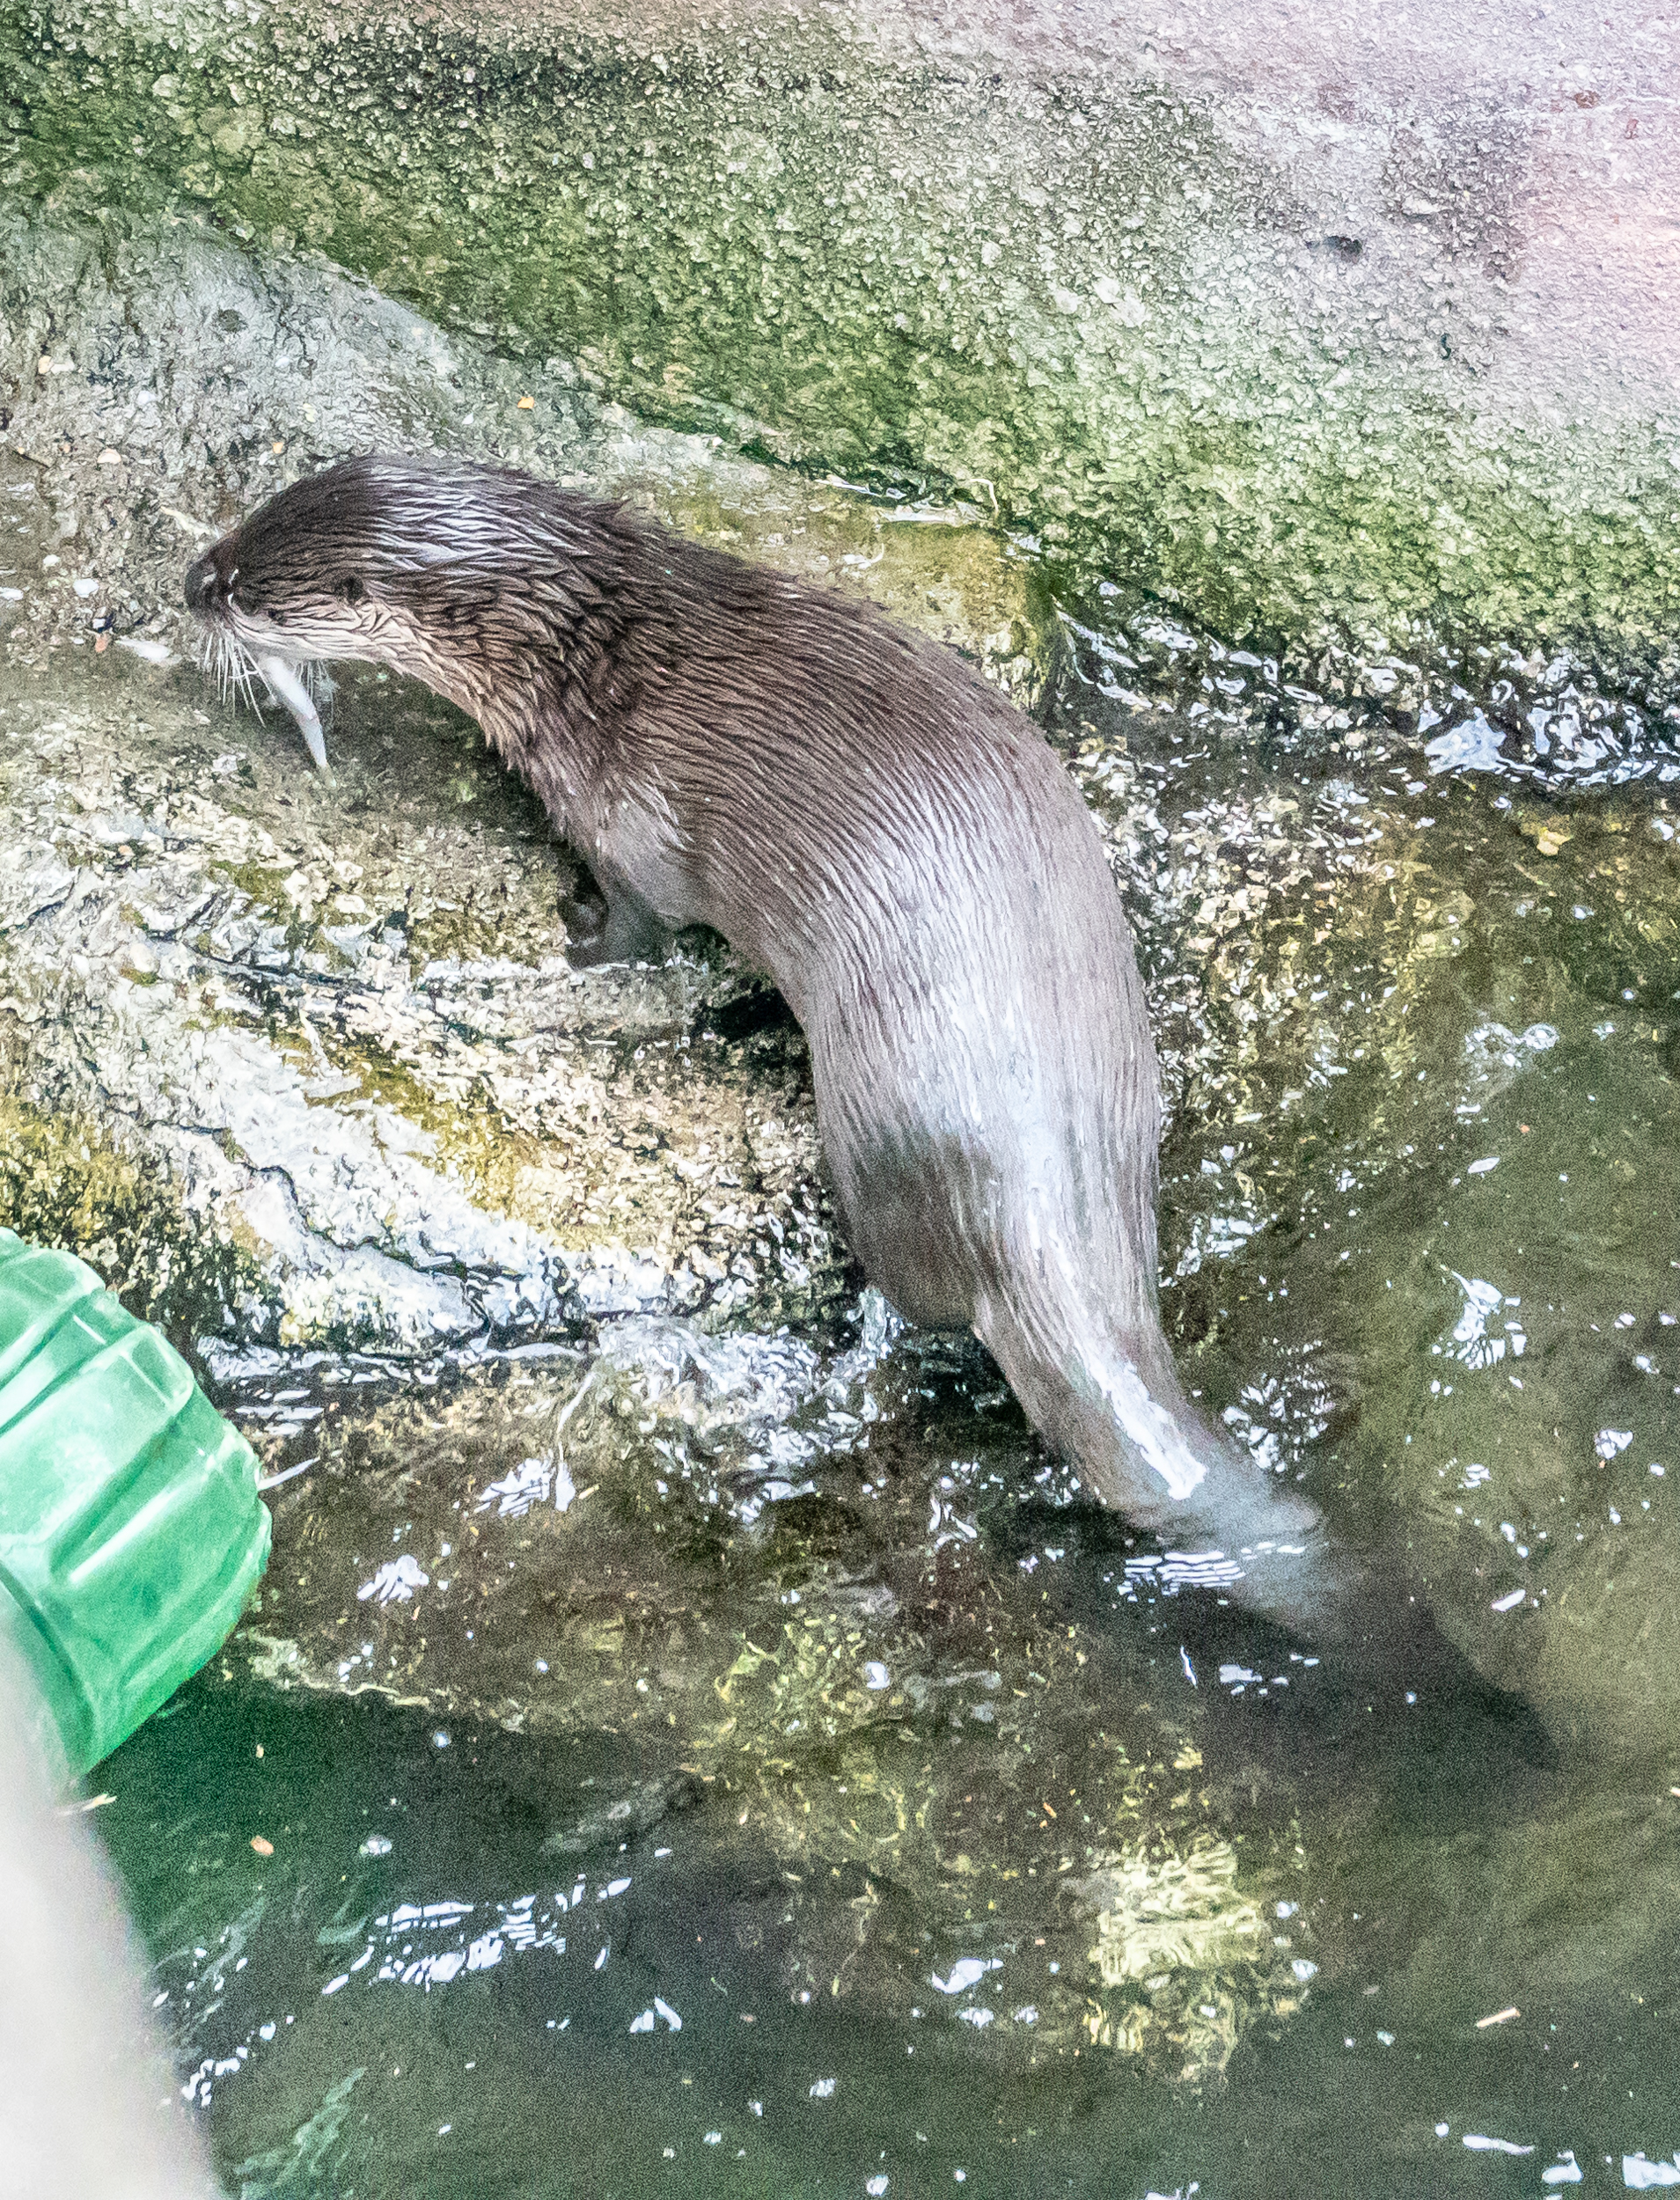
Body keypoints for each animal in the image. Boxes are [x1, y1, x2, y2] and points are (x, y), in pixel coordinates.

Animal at [180, 457, 1364, 1637]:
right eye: (243, 525)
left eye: (245, 592)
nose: (192, 580)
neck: (572, 659)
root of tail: (1042, 1204)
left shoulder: (628, 822)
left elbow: (638, 926)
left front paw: (573, 933)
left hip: (878, 1135)